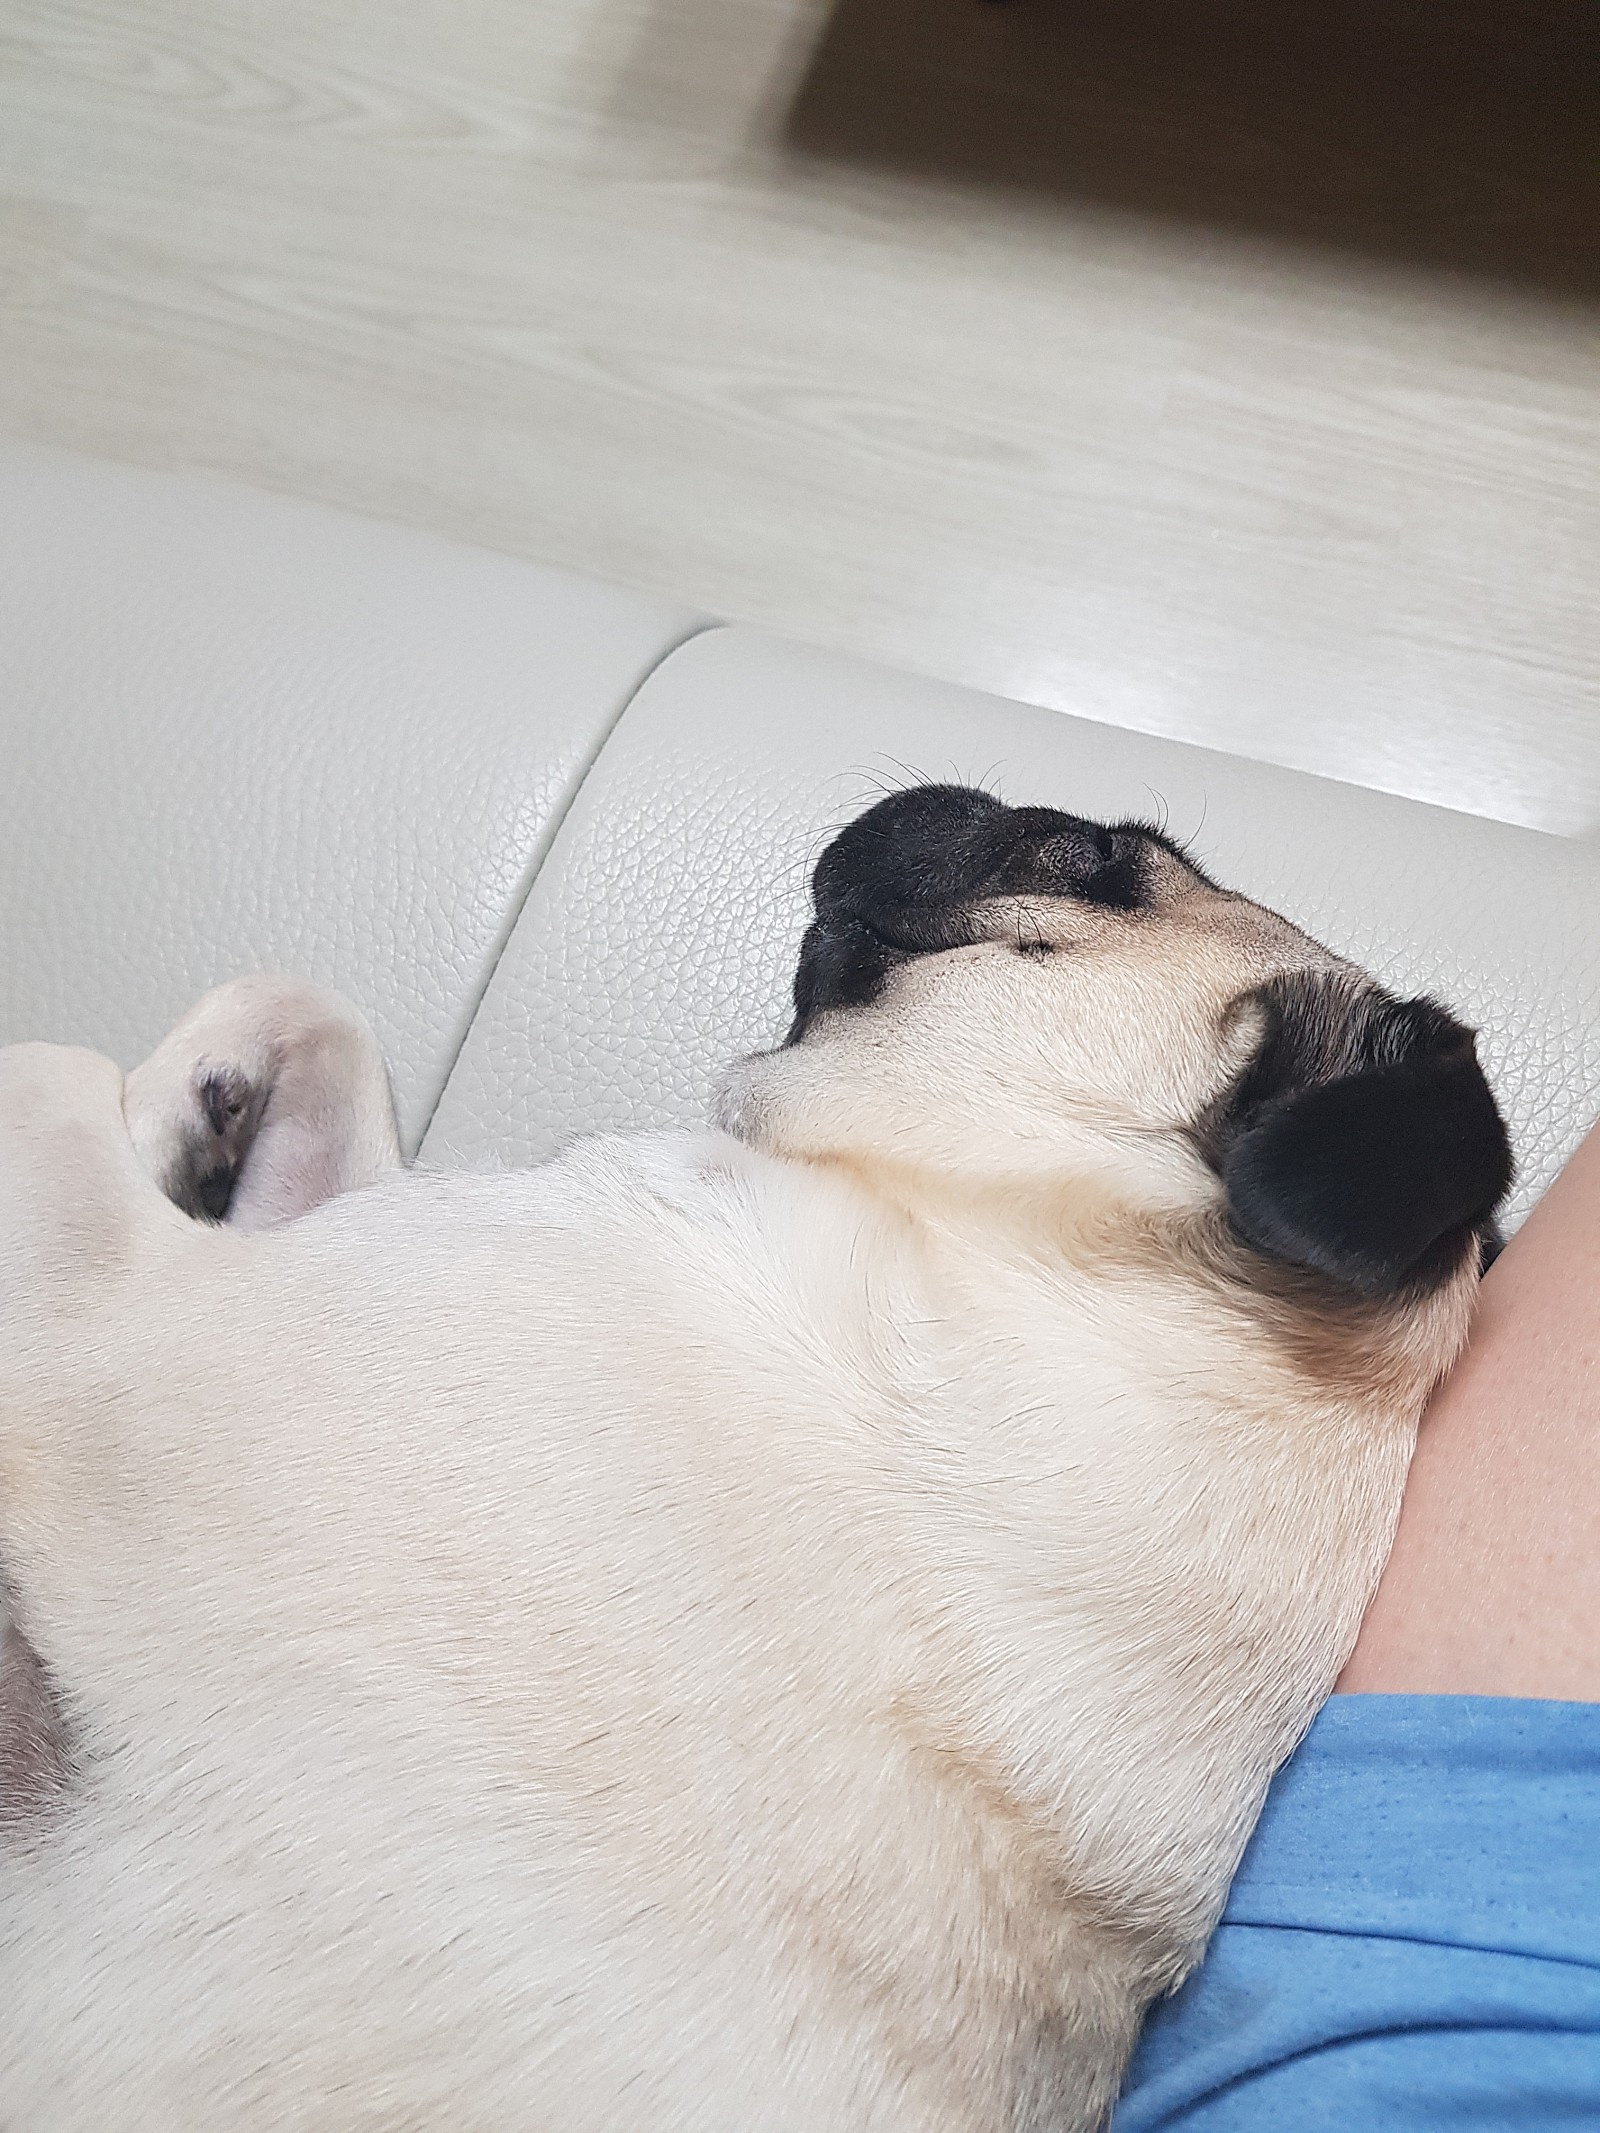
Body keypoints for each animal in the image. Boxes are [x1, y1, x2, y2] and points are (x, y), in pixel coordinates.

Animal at [0, 784, 1510, 2131]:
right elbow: (311, 1005)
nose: (955, 784)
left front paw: (146, 1110)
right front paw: (191, 1104)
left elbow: (48, 1072)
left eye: (1088, 861)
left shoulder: (116, 1331)